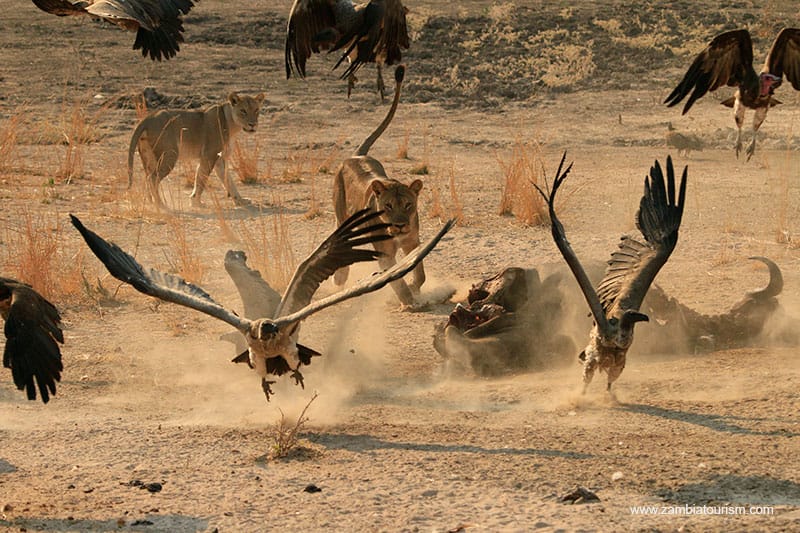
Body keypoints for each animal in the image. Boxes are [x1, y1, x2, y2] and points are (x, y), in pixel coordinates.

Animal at [127, 91, 266, 206]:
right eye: (243, 111)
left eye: (256, 110)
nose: (253, 124)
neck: (232, 125)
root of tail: (148, 118)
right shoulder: (209, 155)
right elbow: (201, 179)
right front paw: (196, 202)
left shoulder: (219, 159)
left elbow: (227, 180)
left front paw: (240, 200)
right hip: (170, 155)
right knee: (152, 178)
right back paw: (160, 204)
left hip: (148, 157)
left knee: (147, 177)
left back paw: (149, 202)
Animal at [332, 66, 424, 306]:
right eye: (388, 206)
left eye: (408, 205)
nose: (400, 225)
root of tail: (357, 154)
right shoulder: (385, 254)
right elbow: (396, 281)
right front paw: (408, 301)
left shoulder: (413, 242)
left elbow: (420, 273)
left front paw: (415, 287)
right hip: (340, 211)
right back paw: (340, 277)